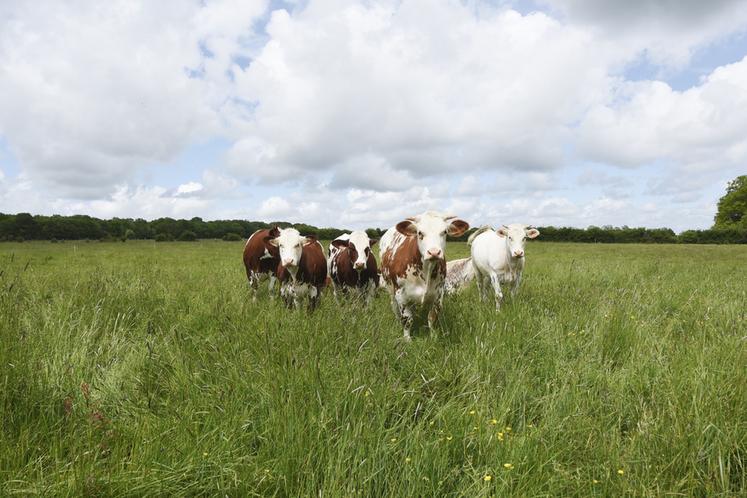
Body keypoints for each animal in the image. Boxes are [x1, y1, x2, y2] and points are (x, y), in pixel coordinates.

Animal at [380, 210, 468, 338]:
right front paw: (407, 339)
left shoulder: (438, 295)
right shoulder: (401, 295)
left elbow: (432, 317)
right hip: (390, 288)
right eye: (420, 233)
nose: (434, 252)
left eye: (444, 232)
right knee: (394, 306)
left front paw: (433, 336)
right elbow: (407, 320)